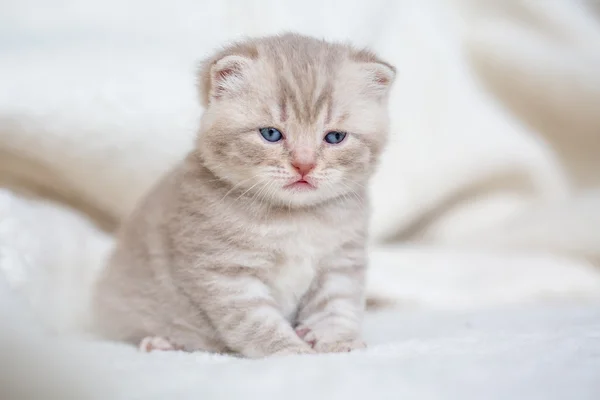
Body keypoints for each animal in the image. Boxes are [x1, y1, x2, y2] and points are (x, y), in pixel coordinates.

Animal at [91, 34, 396, 358]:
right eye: (271, 134)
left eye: (335, 137)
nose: (304, 164)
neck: (295, 219)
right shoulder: (226, 274)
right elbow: (258, 323)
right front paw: (291, 350)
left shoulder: (340, 262)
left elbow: (337, 307)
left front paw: (338, 342)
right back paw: (162, 343)